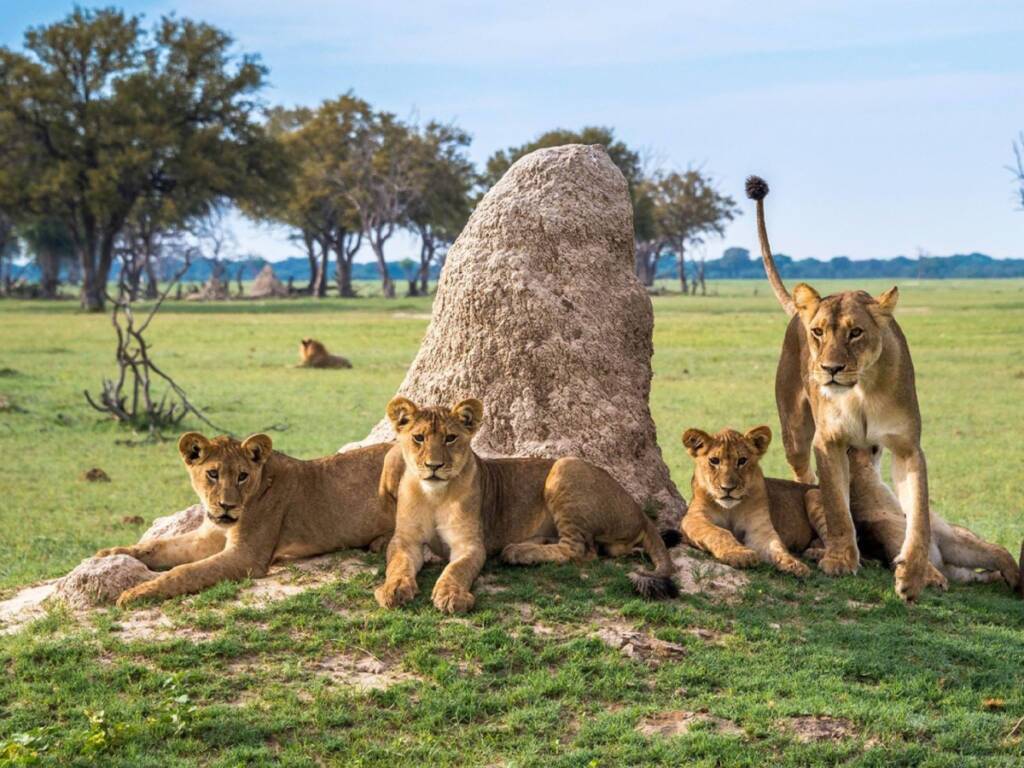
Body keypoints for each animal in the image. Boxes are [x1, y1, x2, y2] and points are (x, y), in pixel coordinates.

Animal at [95, 434, 393, 607]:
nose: (227, 506)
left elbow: (187, 571)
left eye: (242, 476)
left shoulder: (247, 556)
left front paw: (136, 593)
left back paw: (380, 542)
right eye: (213, 474)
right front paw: (110, 553)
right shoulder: (207, 537)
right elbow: (157, 546)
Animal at [374, 396, 679, 614]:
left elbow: (456, 570)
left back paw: (518, 552)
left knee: (580, 550)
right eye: (418, 438)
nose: (434, 466)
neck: (434, 494)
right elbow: (398, 564)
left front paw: (451, 595)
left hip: (565, 466)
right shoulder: (405, 541)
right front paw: (392, 589)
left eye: (451, 438)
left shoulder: (470, 544)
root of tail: (638, 509)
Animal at [746, 175, 937, 601]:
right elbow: (835, 505)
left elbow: (918, 516)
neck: (861, 390)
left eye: (855, 333)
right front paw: (839, 558)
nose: (830, 370)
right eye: (819, 333)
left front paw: (917, 575)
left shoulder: (907, 448)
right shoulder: (827, 442)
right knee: (806, 479)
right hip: (795, 433)